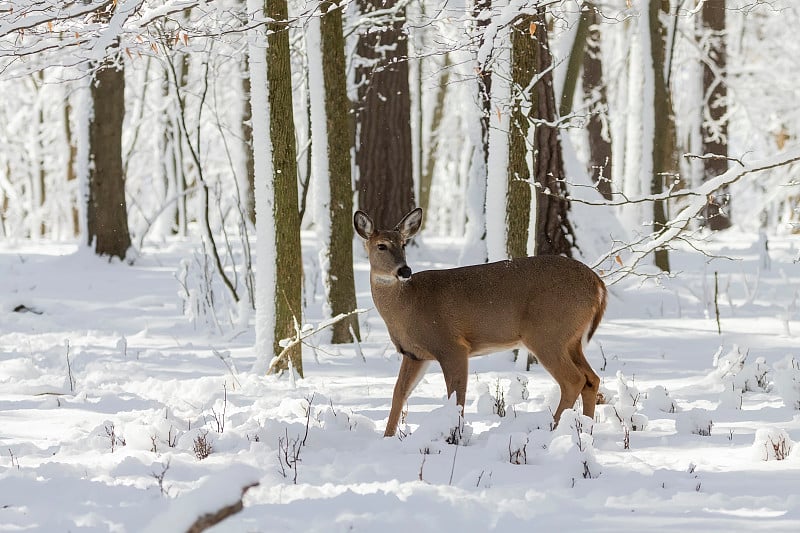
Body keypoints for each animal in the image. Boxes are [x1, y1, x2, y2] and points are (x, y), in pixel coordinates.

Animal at [356, 206, 608, 434]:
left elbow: (456, 396)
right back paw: (585, 429)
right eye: (381, 245)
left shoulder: (451, 346)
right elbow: (399, 393)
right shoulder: (415, 354)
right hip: (571, 339)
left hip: (547, 333)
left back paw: (552, 429)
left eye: (403, 244)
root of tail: (597, 283)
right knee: (591, 379)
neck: (407, 307)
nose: (405, 271)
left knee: (573, 380)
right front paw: (387, 437)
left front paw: (454, 435)